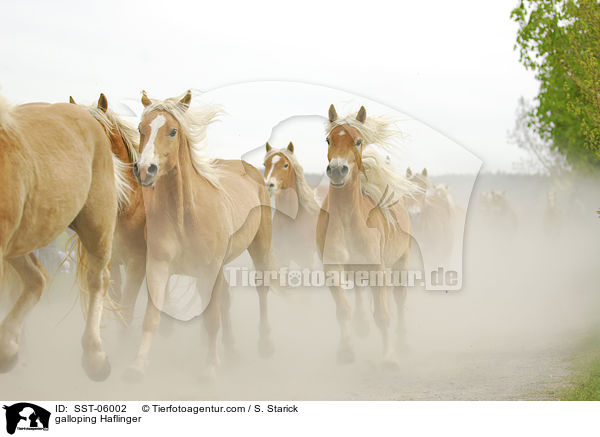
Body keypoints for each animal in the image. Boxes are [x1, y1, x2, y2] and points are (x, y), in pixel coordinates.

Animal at [127, 89, 276, 378]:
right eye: (141, 128)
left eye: (173, 131)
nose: (145, 170)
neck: (185, 215)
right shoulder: (159, 266)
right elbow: (153, 316)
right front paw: (137, 365)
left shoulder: (210, 270)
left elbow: (211, 318)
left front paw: (208, 368)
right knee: (226, 299)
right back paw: (230, 349)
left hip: (260, 246)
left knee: (261, 290)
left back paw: (265, 343)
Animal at [262, 141, 318, 270]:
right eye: (265, 164)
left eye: (286, 165)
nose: (269, 185)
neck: (292, 218)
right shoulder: (283, 259)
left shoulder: (307, 261)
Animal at [316, 104, 414, 364]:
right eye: (328, 140)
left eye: (358, 141)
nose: (337, 170)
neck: (347, 220)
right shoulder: (333, 268)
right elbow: (343, 310)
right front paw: (346, 349)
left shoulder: (378, 269)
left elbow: (382, 314)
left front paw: (389, 357)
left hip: (401, 263)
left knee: (399, 300)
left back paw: (403, 341)